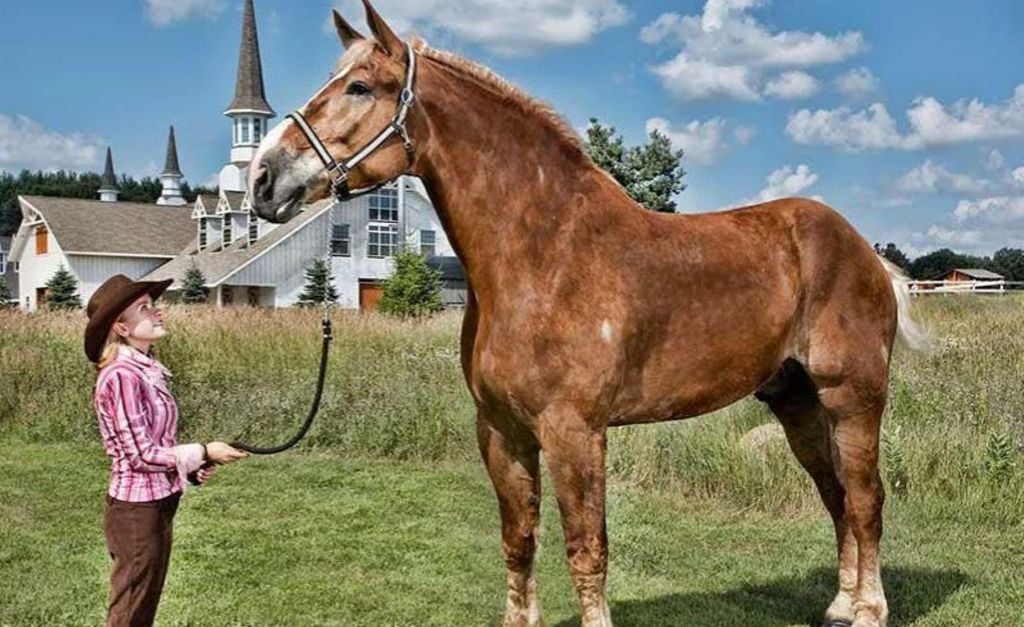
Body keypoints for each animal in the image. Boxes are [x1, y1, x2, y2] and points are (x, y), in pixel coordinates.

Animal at [249, 3, 925, 626]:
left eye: (361, 87)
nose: (263, 178)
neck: (545, 255)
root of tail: (865, 252)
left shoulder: (573, 432)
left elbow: (585, 548)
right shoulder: (501, 432)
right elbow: (519, 542)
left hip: (852, 398)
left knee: (865, 500)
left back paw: (870, 610)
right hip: (796, 401)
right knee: (835, 496)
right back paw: (840, 605)